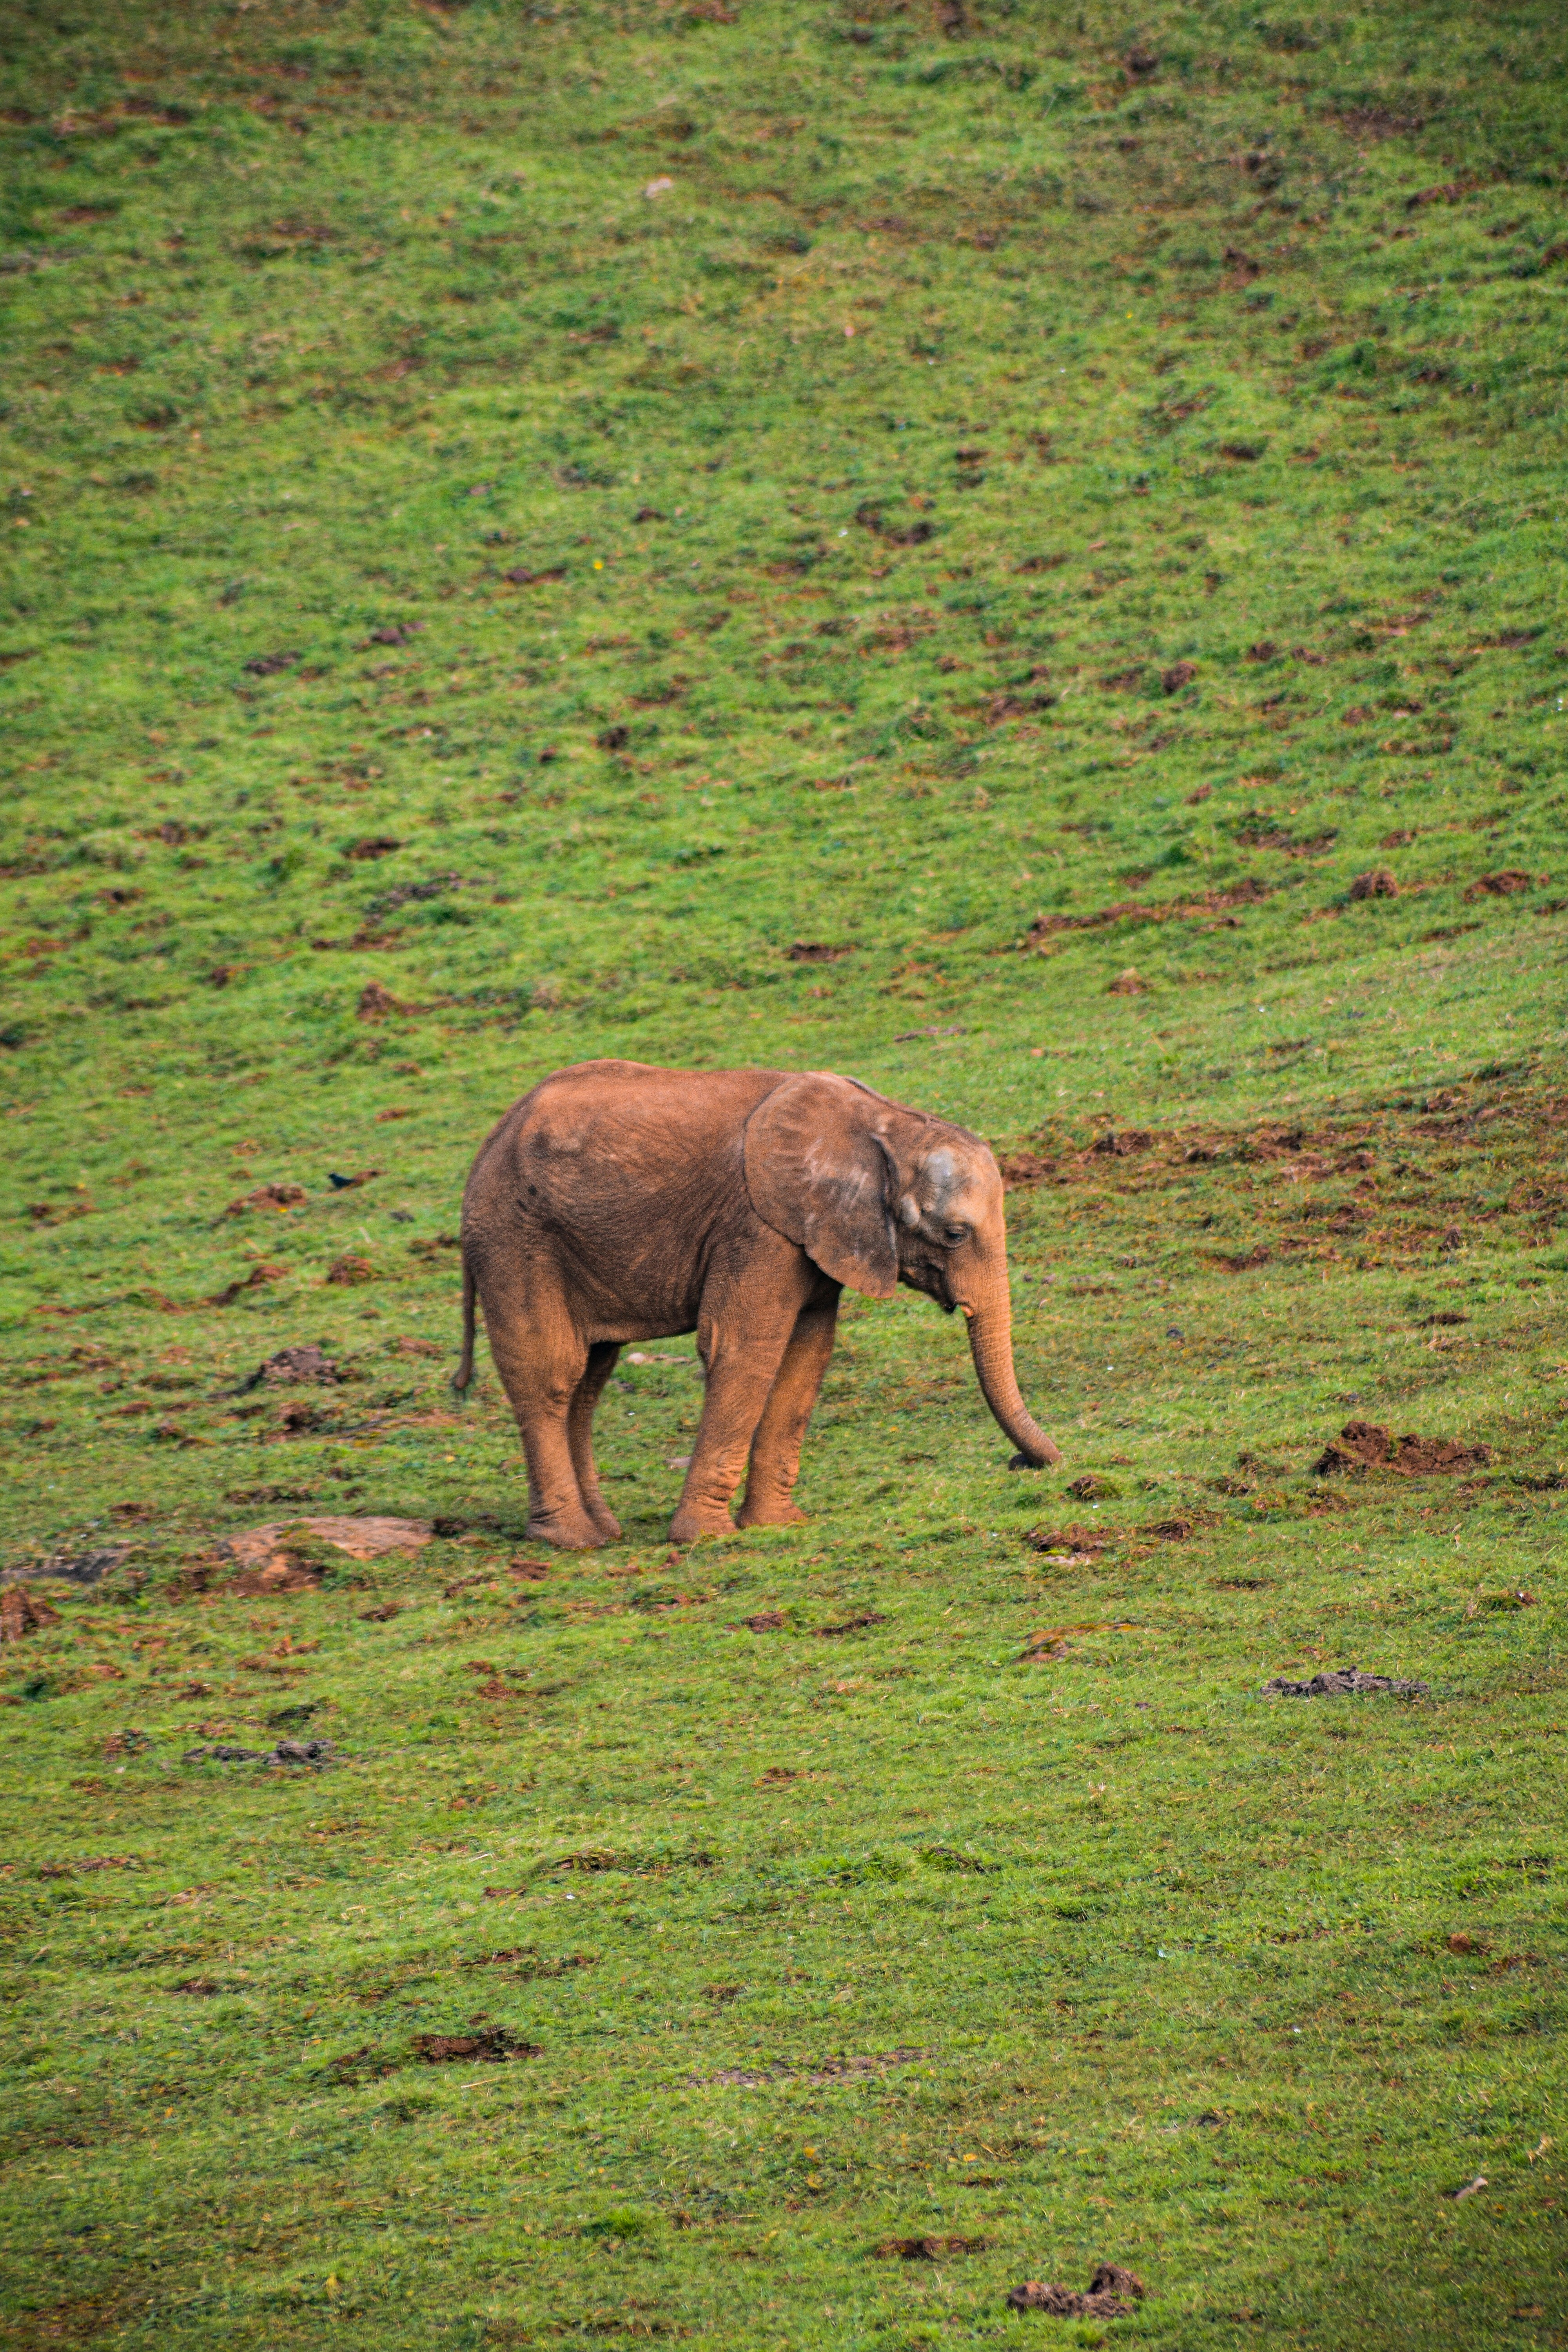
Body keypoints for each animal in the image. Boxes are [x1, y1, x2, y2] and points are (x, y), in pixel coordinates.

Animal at [454, 1058, 1061, 1549]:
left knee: (590, 1381)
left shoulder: (818, 1232)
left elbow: (806, 1353)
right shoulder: (757, 1226)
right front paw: (706, 1538)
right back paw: (570, 1540)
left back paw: (603, 1531)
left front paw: (778, 1525)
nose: (1021, 1463)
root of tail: (487, 1143)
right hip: (515, 1238)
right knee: (553, 1375)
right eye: (955, 1235)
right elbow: (745, 1348)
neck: (885, 1124)